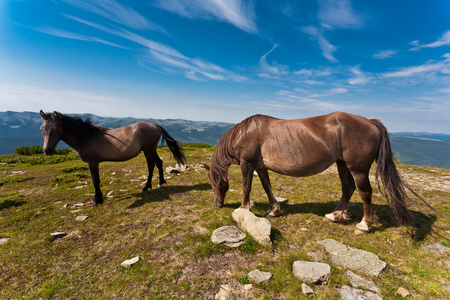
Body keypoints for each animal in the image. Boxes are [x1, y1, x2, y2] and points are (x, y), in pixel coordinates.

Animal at [40, 110, 185, 206]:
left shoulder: (93, 162)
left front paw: (97, 200)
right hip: (151, 150)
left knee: (151, 166)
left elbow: (95, 181)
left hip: (148, 150)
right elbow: (95, 180)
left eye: (56, 129)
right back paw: (161, 182)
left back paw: (146, 186)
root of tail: (156, 126)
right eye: (42, 129)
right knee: (159, 163)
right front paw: (96, 198)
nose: (47, 151)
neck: (85, 136)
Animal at [207, 111, 426, 233]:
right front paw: (274, 209)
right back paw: (335, 215)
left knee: (365, 192)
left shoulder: (247, 164)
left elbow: (246, 186)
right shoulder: (260, 167)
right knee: (348, 188)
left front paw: (244, 209)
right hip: (342, 164)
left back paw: (364, 225)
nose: (217, 204)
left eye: (214, 183)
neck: (245, 132)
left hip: (358, 168)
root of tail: (370, 122)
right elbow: (267, 187)